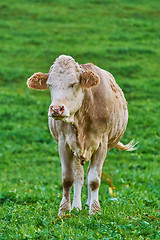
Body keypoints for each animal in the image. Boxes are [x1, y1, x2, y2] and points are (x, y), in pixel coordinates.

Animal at [26, 54, 136, 216]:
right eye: (50, 84)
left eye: (74, 83)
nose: (56, 109)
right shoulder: (64, 143)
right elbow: (68, 178)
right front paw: (64, 210)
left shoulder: (102, 144)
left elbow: (94, 179)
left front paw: (95, 211)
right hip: (76, 151)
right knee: (79, 175)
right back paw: (77, 206)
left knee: (90, 173)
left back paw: (89, 202)